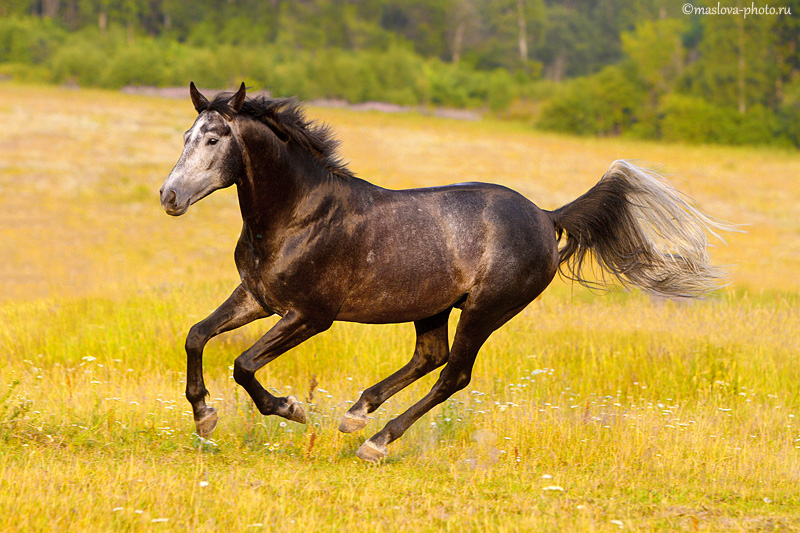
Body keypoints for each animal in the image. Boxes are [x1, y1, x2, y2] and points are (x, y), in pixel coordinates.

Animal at [159, 83, 728, 462]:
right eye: (186, 134)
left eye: (214, 140)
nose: (169, 196)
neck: (300, 214)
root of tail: (547, 217)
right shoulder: (258, 297)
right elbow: (196, 335)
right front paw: (204, 417)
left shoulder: (310, 316)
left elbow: (244, 364)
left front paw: (291, 408)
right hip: (431, 306)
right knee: (429, 358)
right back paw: (356, 414)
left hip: (486, 311)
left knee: (453, 373)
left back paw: (374, 441)